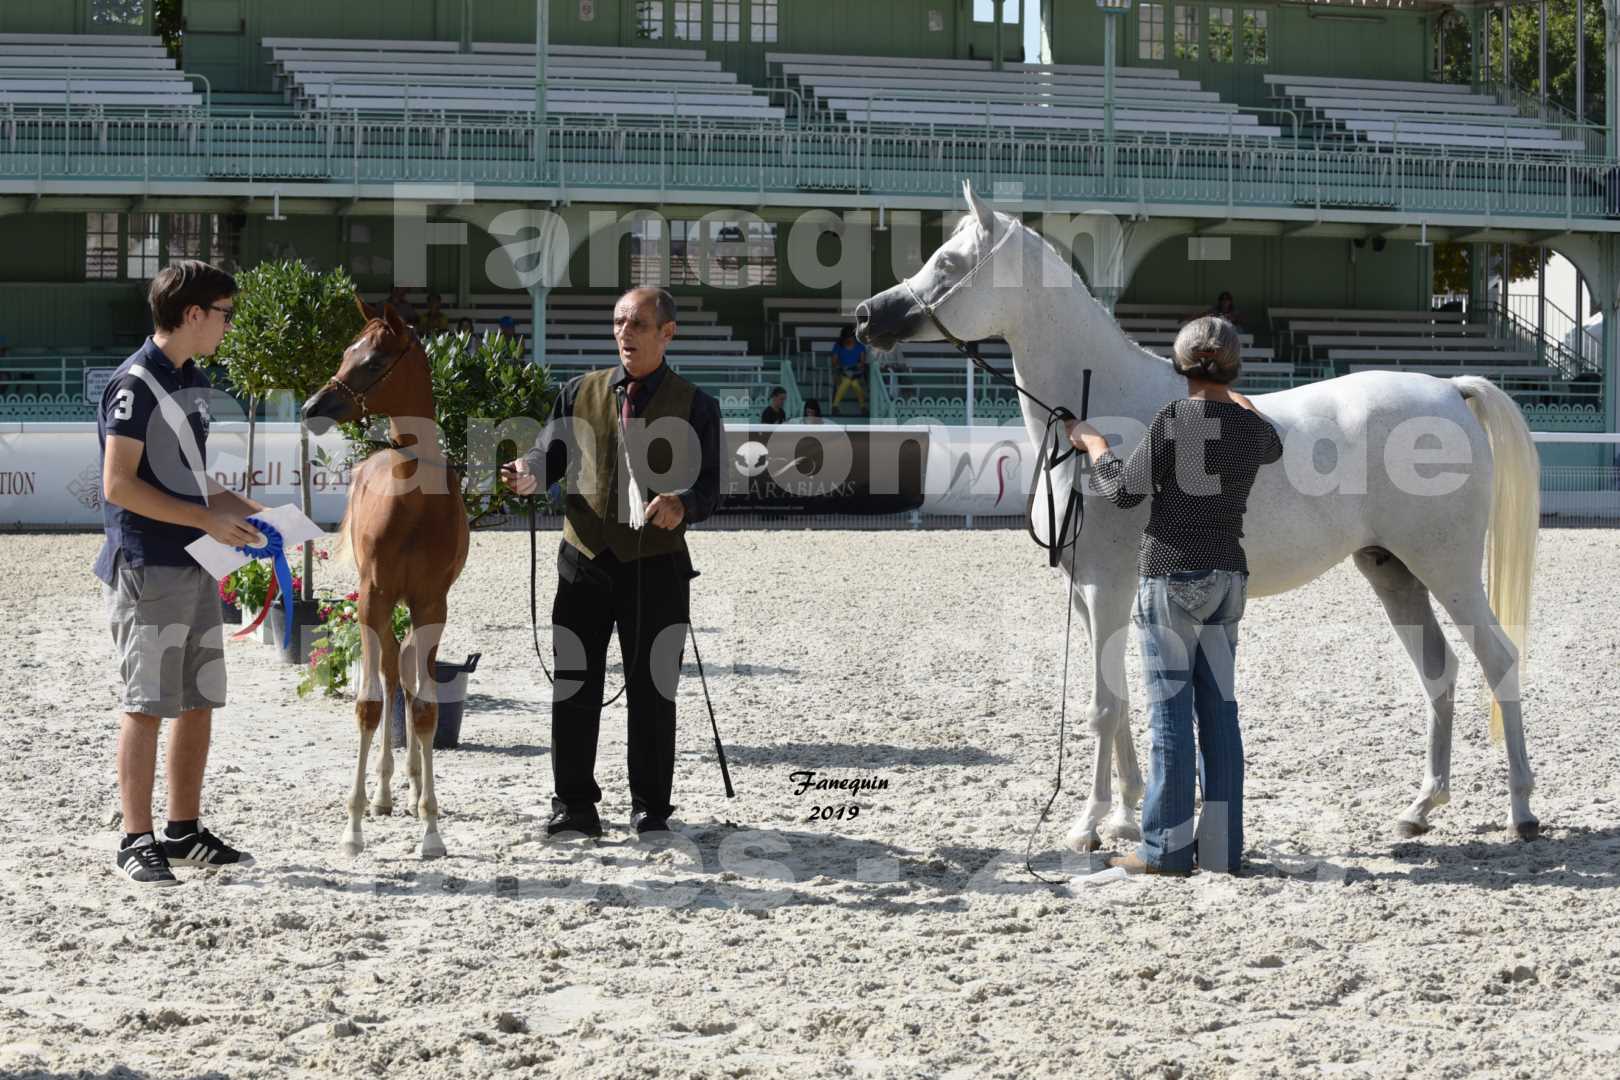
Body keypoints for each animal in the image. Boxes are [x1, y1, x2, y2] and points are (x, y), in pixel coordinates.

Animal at [855, 181, 1535, 848]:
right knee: (1439, 672)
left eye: (948, 263)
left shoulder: (1106, 588)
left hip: (1447, 569)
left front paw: (1088, 825)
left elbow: (1102, 706)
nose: (866, 317)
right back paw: (1420, 809)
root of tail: (1449, 390)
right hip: (1392, 570)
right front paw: (1126, 814)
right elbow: (1119, 701)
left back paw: (1522, 812)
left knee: (1499, 660)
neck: (1101, 413)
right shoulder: (1092, 594)